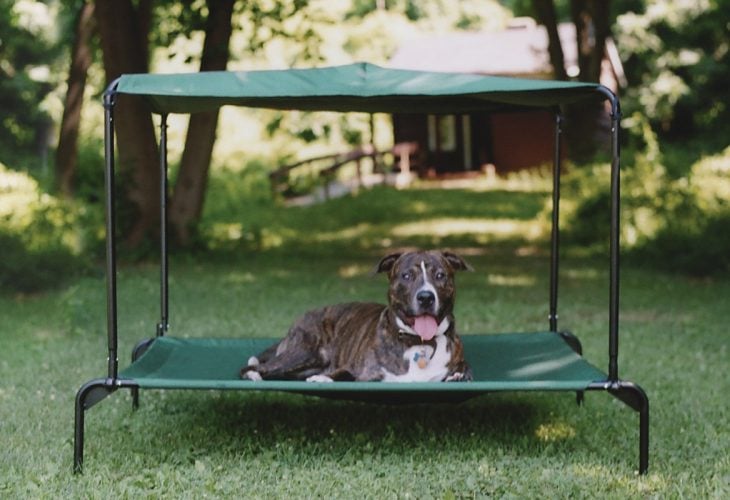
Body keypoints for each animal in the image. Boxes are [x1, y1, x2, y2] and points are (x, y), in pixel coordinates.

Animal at [239, 250, 472, 382]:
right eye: (406, 276)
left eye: (440, 275)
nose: (425, 297)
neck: (419, 342)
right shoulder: (360, 372)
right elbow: (345, 373)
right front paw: (324, 379)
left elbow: (462, 368)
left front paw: (459, 373)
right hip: (305, 352)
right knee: (253, 367)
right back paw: (254, 374)